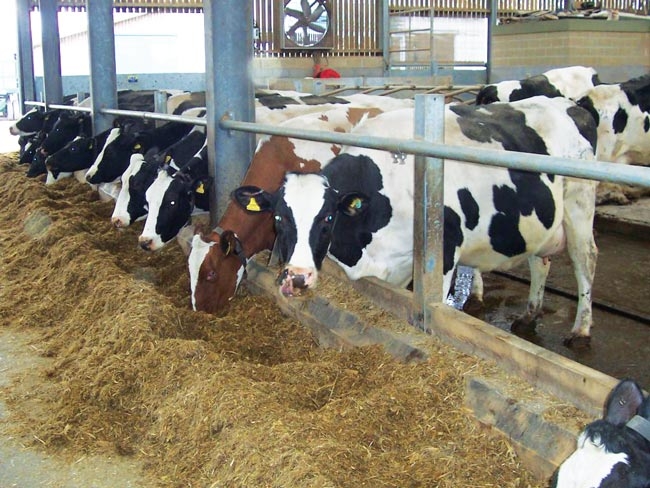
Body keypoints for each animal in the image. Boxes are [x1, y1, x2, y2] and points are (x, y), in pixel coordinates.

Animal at [231, 97, 601, 347]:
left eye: (327, 218)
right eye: (280, 218)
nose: (296, 278)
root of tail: (572, 105)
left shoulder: (444, 252)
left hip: (580, 204)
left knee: (586, 260)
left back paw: (581, 330)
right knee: (541, 261)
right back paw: (529, 314)